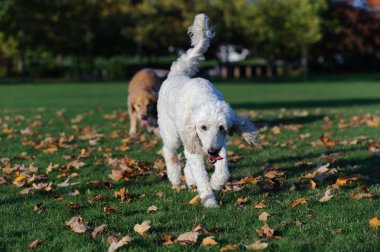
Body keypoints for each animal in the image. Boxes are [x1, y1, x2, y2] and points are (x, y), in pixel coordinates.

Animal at [157, 12, 258, 208]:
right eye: (202, 127)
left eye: (222, 128)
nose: (211, 152)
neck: (205, 99)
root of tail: (176, 74)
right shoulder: (193, 140)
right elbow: (201, 175)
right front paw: (209, 201)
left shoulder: (220, 144)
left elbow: (223, 170)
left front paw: (216, 183)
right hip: (172, 133)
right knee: (169, 152)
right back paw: (175, 178)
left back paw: (190, 180)